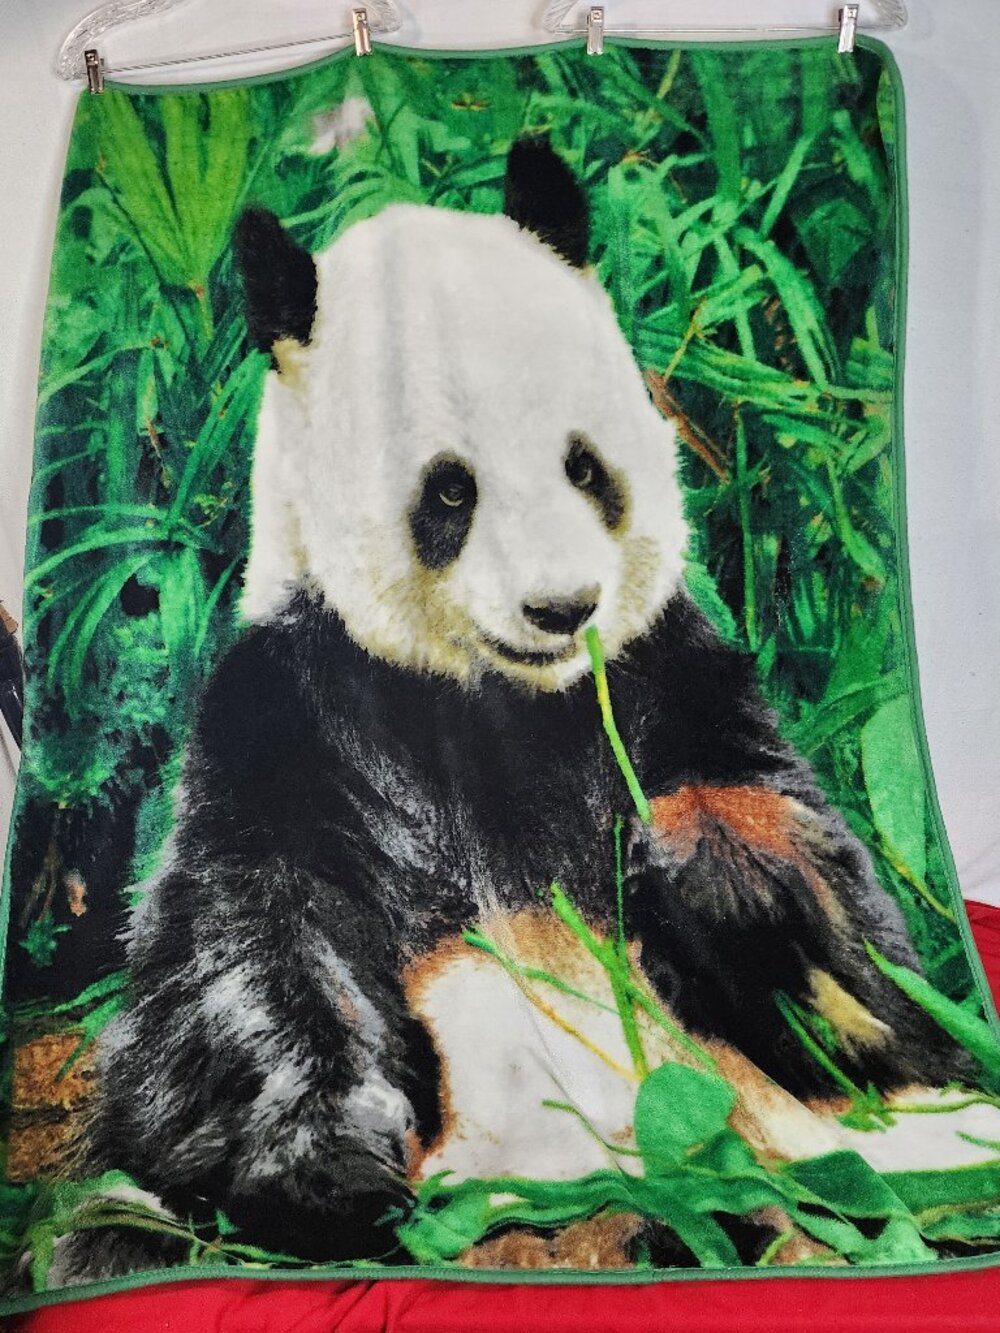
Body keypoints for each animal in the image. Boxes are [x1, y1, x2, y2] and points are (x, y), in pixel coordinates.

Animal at [69, 139, 975, 1277]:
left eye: (584, 466)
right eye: (450, 492)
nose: (562, 605)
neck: (502, 703)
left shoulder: (666, 673)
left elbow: (871, 982)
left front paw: (716, 872)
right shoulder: (295, 708)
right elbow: (242, 946)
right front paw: (328, 1170)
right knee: (121, 1232)